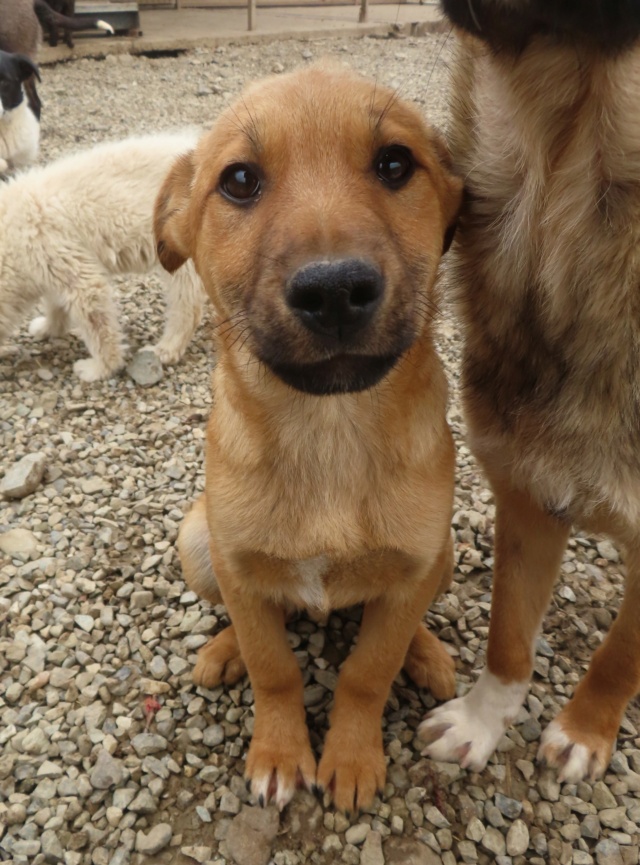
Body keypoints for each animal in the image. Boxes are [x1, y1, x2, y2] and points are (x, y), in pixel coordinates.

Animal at [0, 131, 204, 378]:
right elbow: (56, 302)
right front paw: (48, 328)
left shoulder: (56, 252)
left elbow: (96, 323)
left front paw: (100, 368)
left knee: (187, 300)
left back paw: (165, 349)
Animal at [157, 64, 462, 812]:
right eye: (239, 179)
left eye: (395, 164)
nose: (334, 291)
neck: (330, 427)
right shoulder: (237, 562)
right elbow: (275, 667)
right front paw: (278, 751)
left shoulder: (414, 564)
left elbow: (367, 671)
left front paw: (350, 757)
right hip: (197, 544)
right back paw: (223, 649)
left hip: (442, 553)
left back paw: (428, 652)